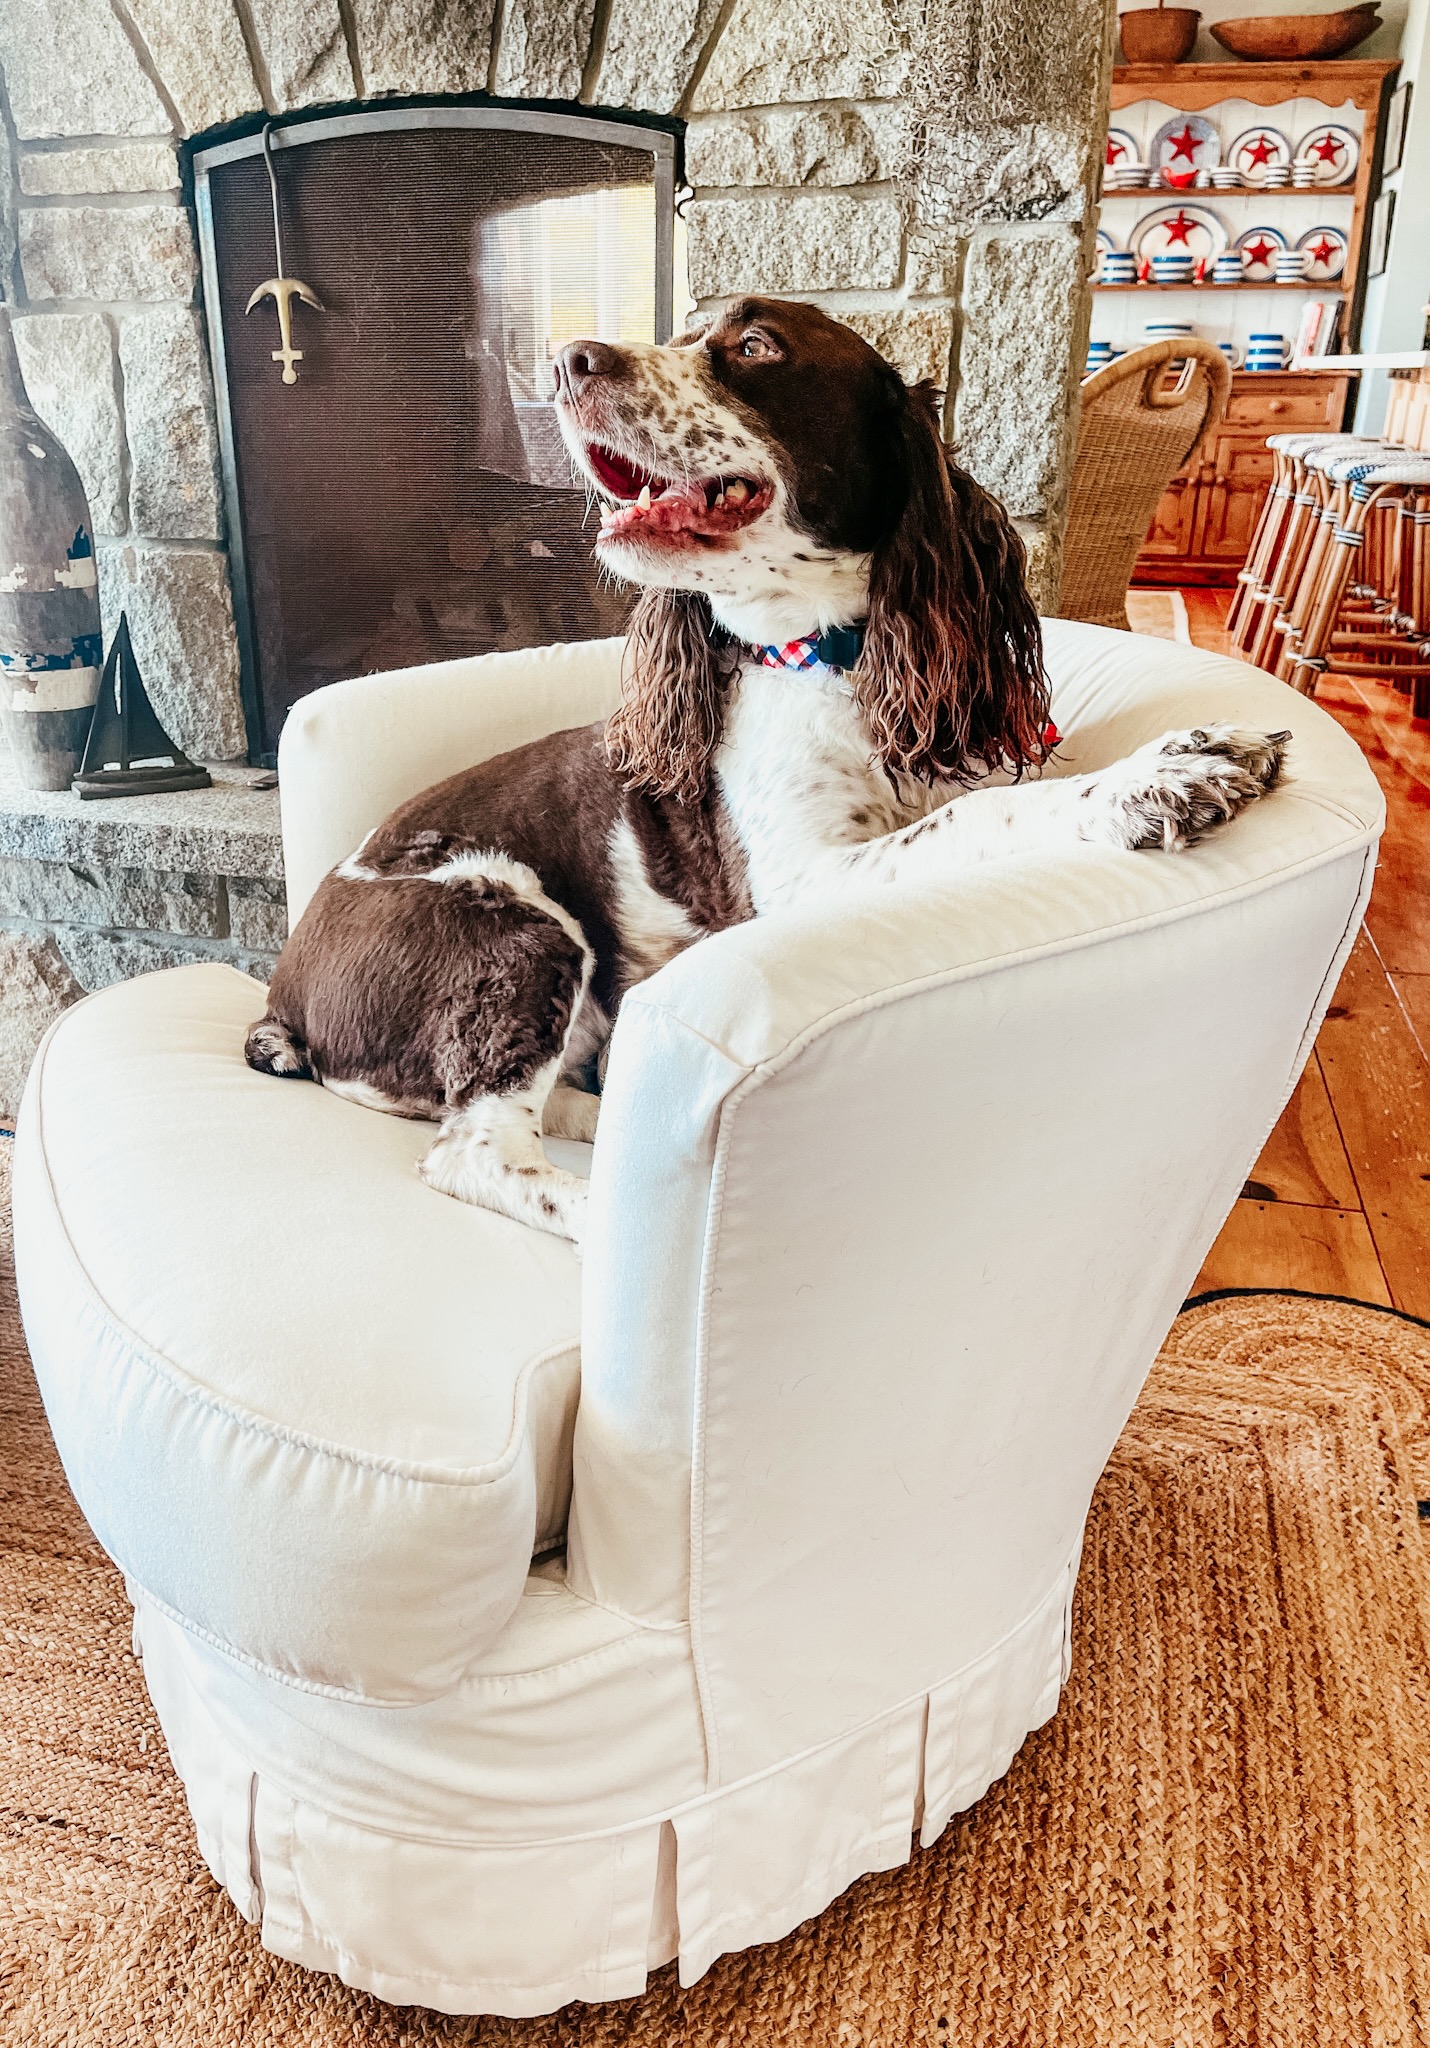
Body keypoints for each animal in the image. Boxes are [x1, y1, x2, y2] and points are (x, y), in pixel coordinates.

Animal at [244, 296, 1278, 1236]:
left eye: (754, 346)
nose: (569, 359)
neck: (837, 659)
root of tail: (285, 995)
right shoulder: (798, 882)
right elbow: (978, 816)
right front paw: (1161, 776)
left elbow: (980, 802)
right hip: (516, 926)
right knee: (476, 1149)